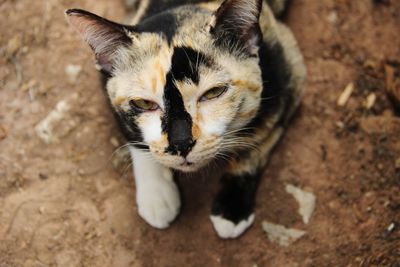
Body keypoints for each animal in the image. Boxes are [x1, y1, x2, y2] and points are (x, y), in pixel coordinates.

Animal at [65, 0, 304, 239]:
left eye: (214, 92)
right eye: (144, 104)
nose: (181, 144)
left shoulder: (292, 77)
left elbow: (255, 145)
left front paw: (231, 208)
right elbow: (136, 140)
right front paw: (156, 195)